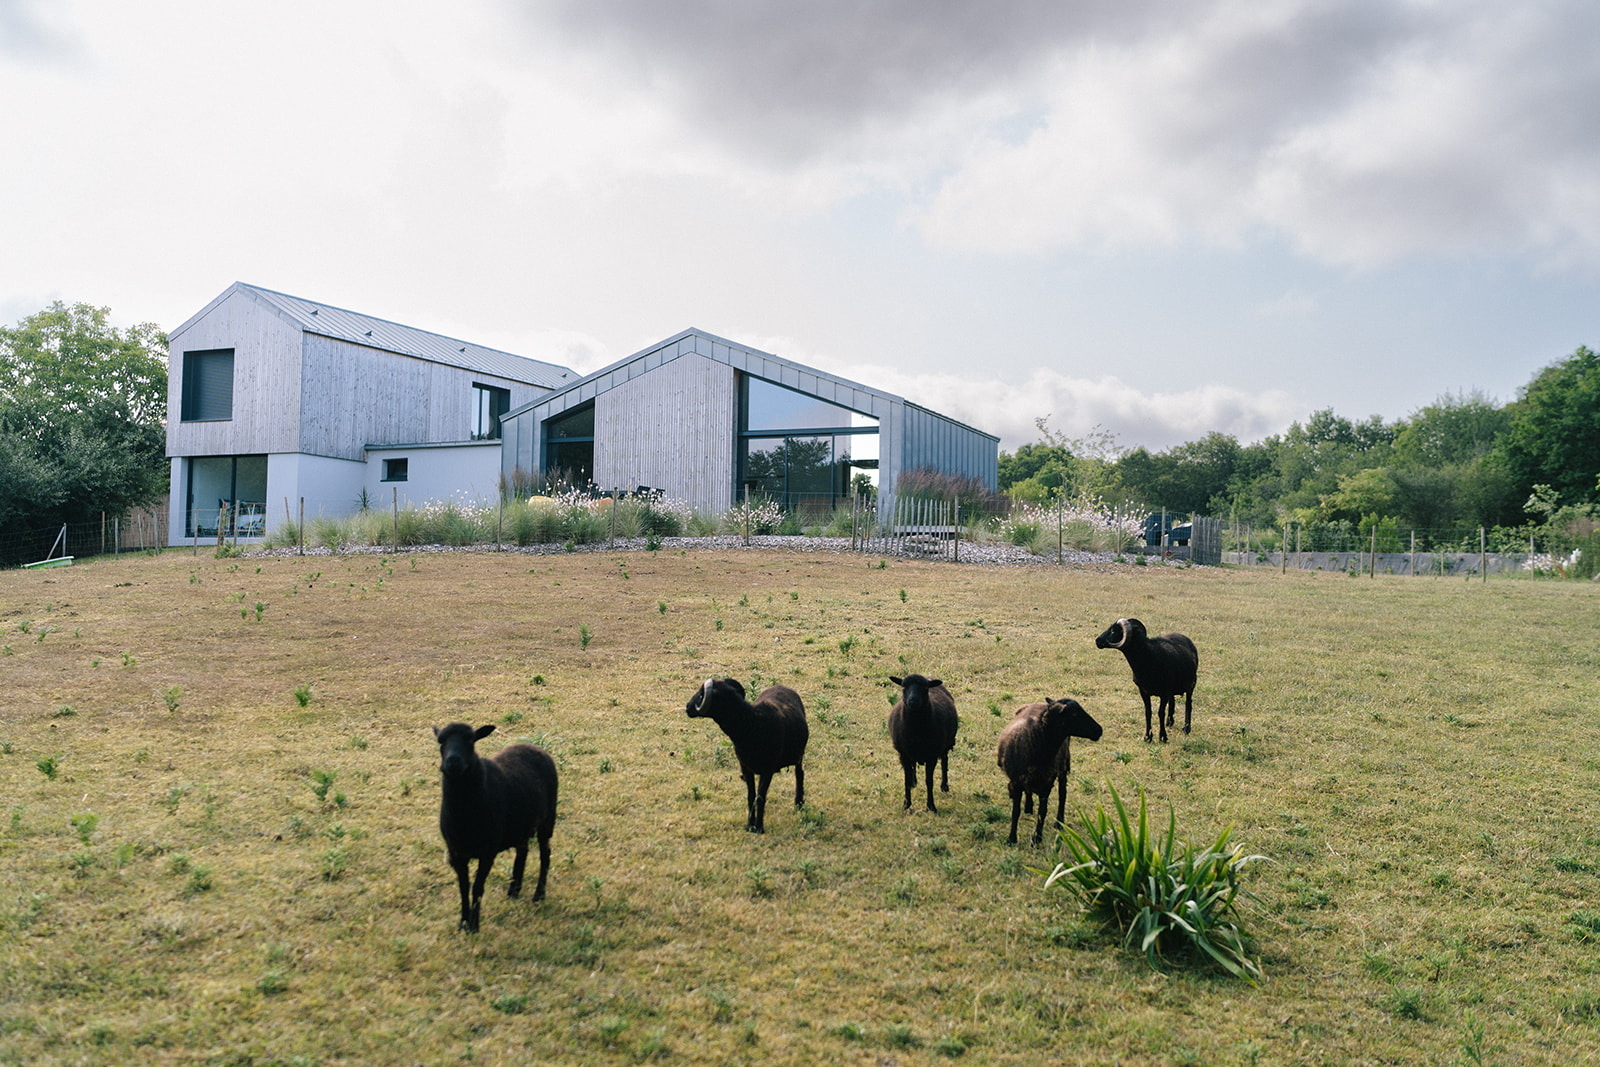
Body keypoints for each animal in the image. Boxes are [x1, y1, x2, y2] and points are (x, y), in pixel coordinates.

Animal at [435, 723, 560, 927]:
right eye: (441, 741)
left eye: (471, 740)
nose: (453, 762)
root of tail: (535, 747)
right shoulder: (456, 853)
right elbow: (463, 887)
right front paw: (463, 923)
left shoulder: (488, 852)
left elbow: (477, 888)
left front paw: (474, 926)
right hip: (521, 825)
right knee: (523, 851)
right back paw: (514, 891)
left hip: (547, 820)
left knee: (545, 854)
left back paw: (538, 895)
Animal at [688, 675, 812, 831]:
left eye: (700, 695)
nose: (687, 707)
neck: (750, 725)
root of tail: (782, 686)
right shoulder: (745, 767)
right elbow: (751, 796)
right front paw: (749, 825)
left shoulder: (768, 769)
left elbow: (760, 797)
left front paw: (759, 827)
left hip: (799, 755)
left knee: (799, 774)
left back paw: (799, 804)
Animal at [883, 671, 953, 812]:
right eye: (904, 686)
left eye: (925, 688)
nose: (913, 700)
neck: (916, 729)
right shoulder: (904, 754)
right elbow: (906, 779)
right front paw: (906, 804)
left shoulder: (932, 756)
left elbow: (929, 781)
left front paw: (931, 806)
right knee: (913, 765)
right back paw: (914, 782)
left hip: (945, 745)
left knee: (944, 760)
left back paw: (944, 786)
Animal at [985, 700, 1100, 844]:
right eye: (1074, 714)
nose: (1099, 730)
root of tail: (1039, 702)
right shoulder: (1017, 782)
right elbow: (1015, 811)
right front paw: (1011, 839)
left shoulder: (1047, 783)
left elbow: (1042, 812)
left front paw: (1037, 838)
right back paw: (1028, 807)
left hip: (1063, 765)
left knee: (1062, 793)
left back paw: (1059, 822)